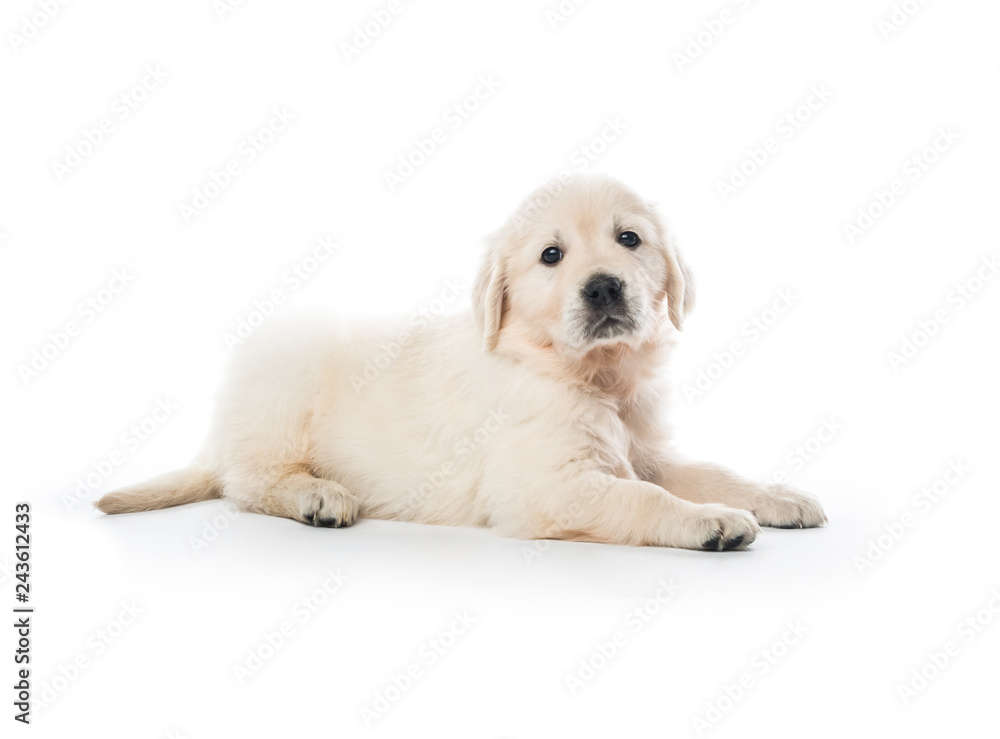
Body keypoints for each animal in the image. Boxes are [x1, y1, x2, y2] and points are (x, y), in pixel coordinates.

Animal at [97, 176, 824, 552]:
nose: (604, 288)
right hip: (281, 377)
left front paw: (775, 496)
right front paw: (710, 520)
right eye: (551, 256)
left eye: (630, 239)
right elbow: (641, 496)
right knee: (246, 482)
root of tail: (217, 436)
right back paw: (317, 495)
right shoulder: (547, 486)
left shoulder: (646, 447)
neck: (592, 373)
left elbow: (706, 472)